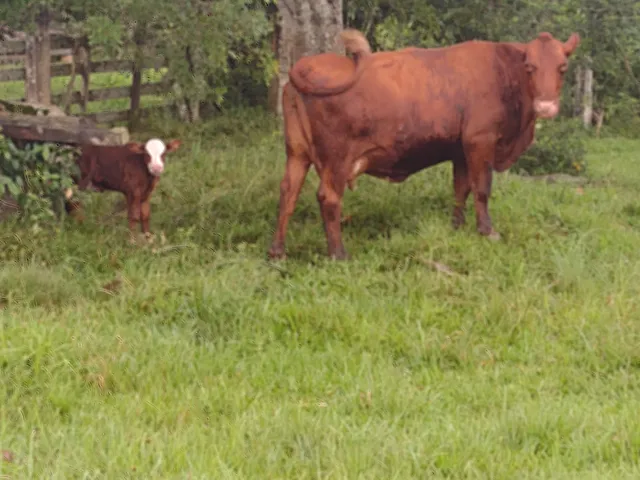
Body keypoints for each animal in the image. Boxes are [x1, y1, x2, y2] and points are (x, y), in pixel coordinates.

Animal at [267, 29, 580, 260]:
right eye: (530, 67)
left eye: (563, 68)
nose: (546, 106)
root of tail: (306, 64)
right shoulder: (480, 141)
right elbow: (481, 189)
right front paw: (487, 231)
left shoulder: (460, 149)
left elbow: (460, 189)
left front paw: (457, 226)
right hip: (336, 159)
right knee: (328, 198)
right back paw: (339, 254)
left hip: (297, 152)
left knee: (288, 192)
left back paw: (277, 253)